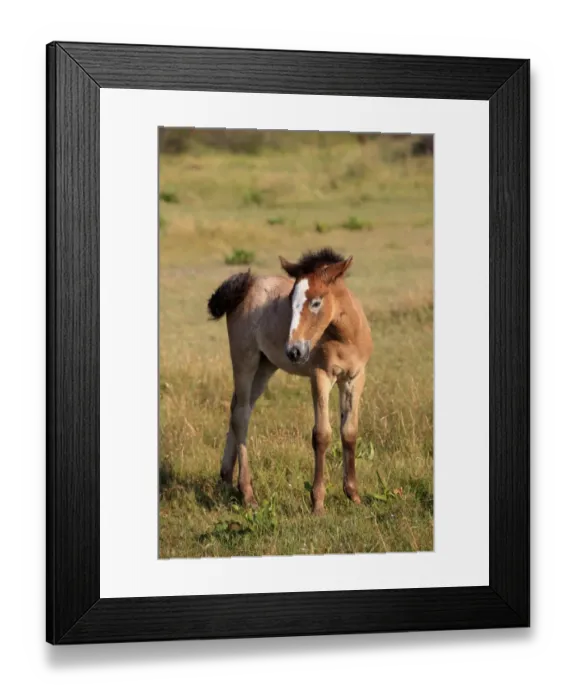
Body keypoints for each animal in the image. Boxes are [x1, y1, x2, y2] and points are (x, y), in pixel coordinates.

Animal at [207, 247, 373, 515]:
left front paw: (353, 495)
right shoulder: (320, 376)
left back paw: (226, 480)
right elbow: (322, 435)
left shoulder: (355, 378)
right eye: (289, 302)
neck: (345, 337)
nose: (294, 351)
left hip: (265, 366)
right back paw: (247, 493)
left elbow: (349, 431)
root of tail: (247, 286)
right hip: (245, 360)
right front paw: (318, 503)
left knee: (238, 409)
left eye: (316, 302)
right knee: (241, 415)